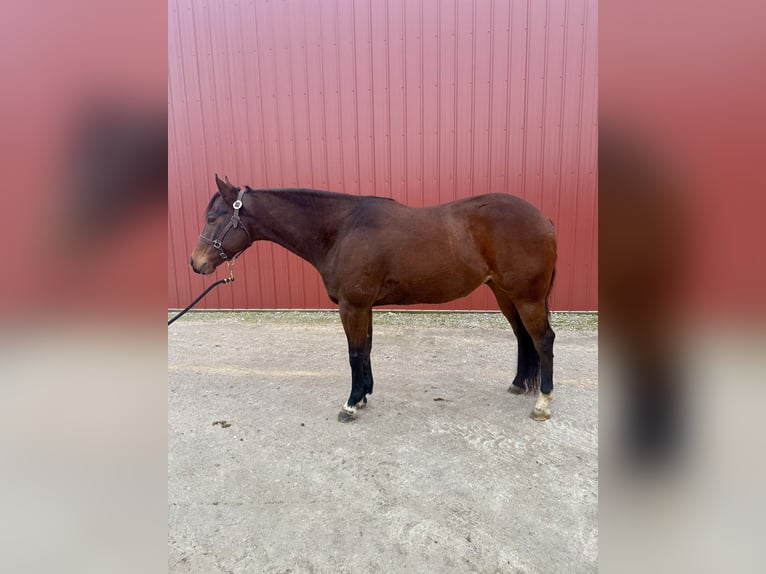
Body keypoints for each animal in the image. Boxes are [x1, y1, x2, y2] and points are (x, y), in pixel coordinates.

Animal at [190, 175, 557, 422]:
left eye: (212, 217)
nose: (196, 263)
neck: (341, 230)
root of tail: (543, 218)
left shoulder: (351, 306)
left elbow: (354, 353)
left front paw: (351, 404)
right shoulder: (362, 307)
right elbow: (365, 350)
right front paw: (364, 395)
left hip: (527, 297)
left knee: (543, 340)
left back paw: (542, 403)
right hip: (505, 293)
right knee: (523, 337)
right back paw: (519, 385)